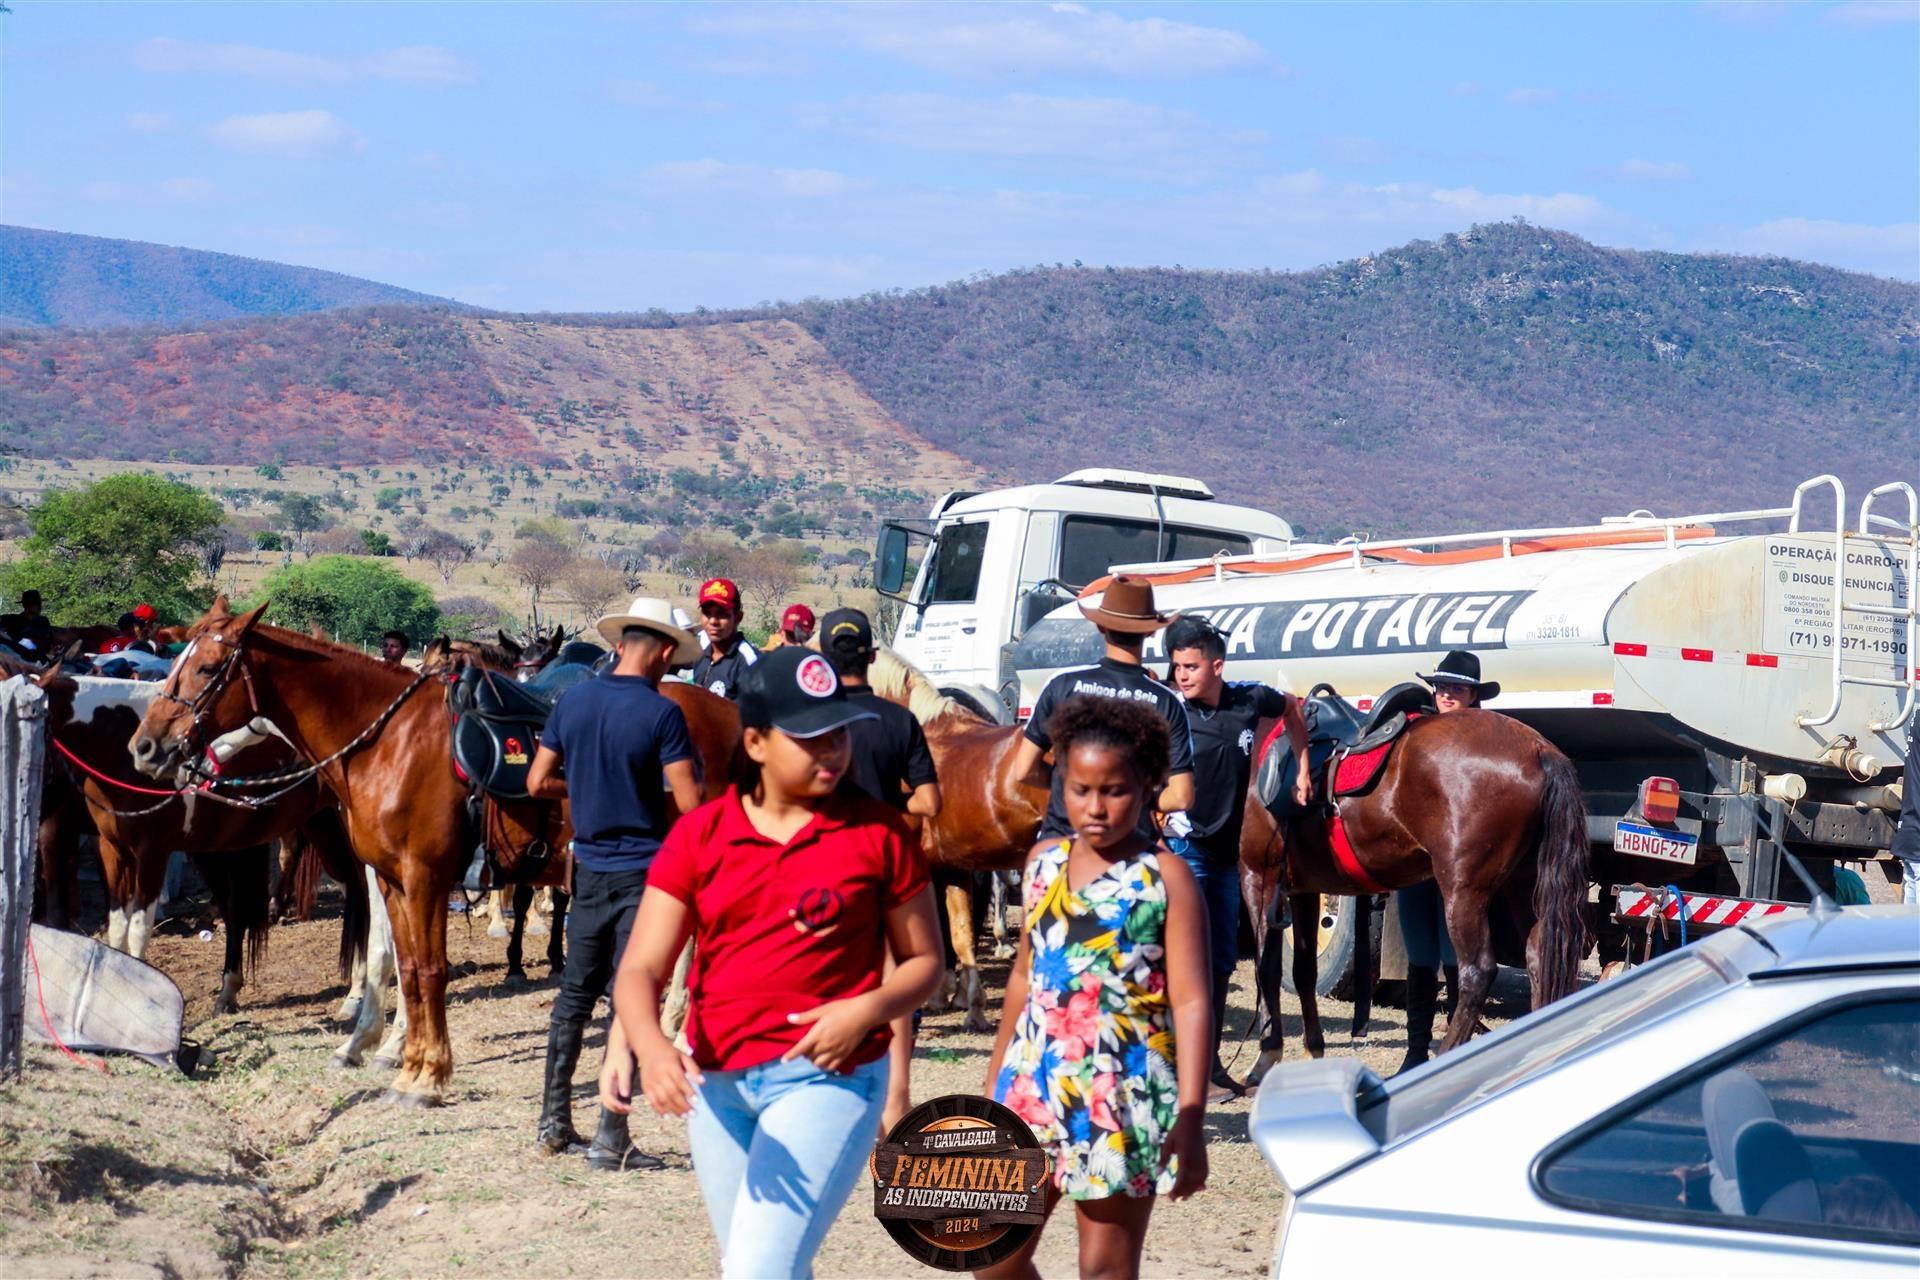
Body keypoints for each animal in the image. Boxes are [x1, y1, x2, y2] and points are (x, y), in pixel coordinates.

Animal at [130, 598, 469, 1105]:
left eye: (207, 668)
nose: (146, 748)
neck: (389, 743)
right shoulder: (382, 870)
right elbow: (386, 948)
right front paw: (370, 1042)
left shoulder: (418, 873)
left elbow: (408, 956)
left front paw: (395, 1050)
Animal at [1239, 706, 1591, 1084]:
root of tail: (1539, 750)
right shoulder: (1303, 889)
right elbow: (1304, 971)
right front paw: (1312, 1053)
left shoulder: (1258, 878)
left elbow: (1267, 968)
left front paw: (1265, 1058)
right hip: (1524, 886)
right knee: (1539, 958)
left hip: (1464, 891)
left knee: (1477, 972)